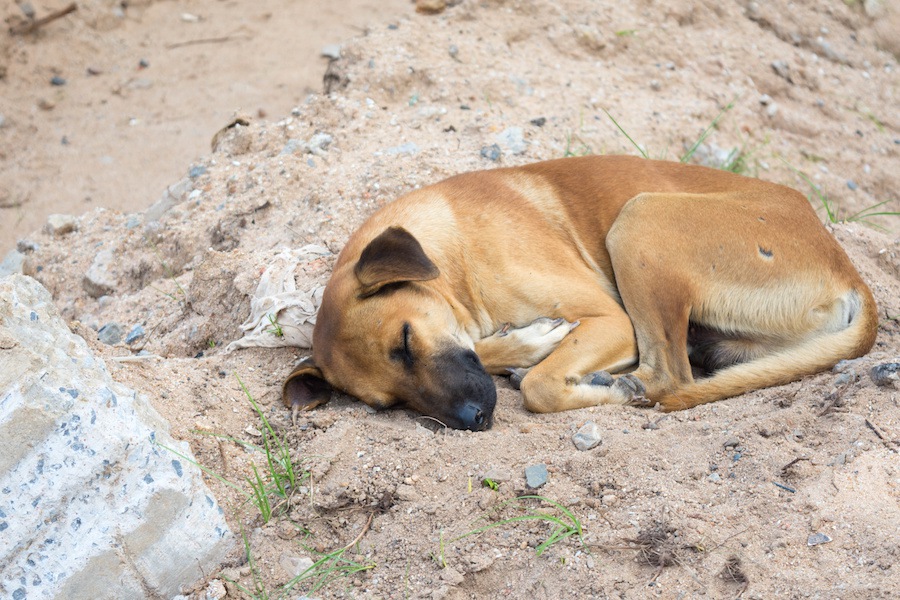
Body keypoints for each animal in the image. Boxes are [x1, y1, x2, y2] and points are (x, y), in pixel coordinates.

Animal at [284, 155, 880, 426]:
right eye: (387, 405)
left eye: (405, 341)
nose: (473, 420)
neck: (451, 251)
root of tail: (848, 272)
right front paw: (523, 345)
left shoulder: (611, 318)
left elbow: (541, 387)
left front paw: (546, 362)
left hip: (641, 219)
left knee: (668, 376)